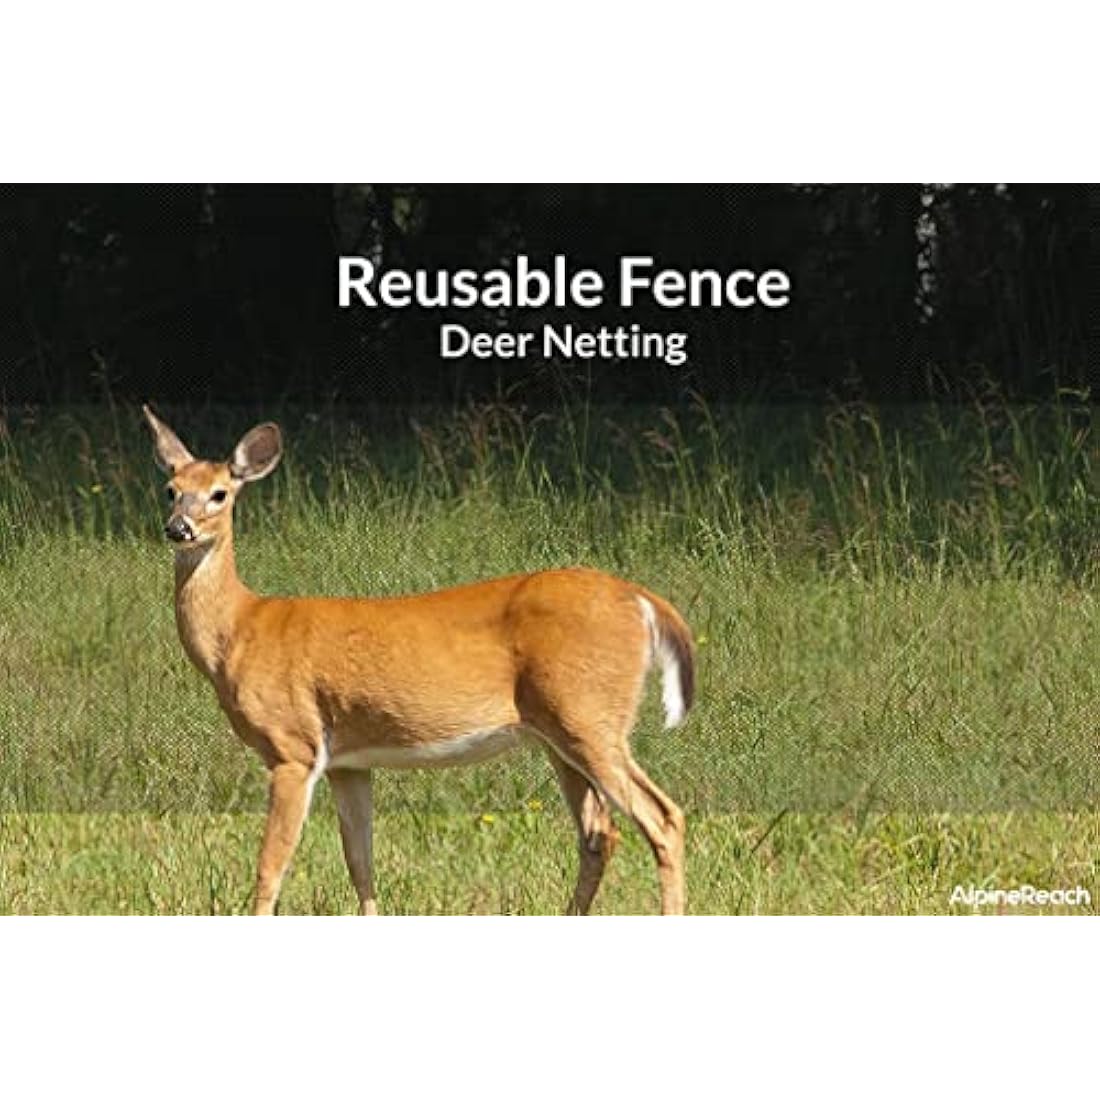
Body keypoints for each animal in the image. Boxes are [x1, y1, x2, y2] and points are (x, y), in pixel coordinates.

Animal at [142, 405, 695, 915]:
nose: (178, 528)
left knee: (662, 818)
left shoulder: (293, 746)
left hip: (588, 714)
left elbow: (270, 866)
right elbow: (360, 863)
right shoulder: (348, 761)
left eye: (220, 493)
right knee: (599, 832)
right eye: (170, 489)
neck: (239, 630)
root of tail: (643, 600)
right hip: (559, 732)